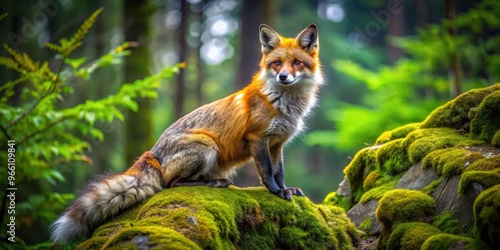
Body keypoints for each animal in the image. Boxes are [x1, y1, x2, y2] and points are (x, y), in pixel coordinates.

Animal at [49, 23, 324, 242]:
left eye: (297, 63)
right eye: (276, 63)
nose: (283, 76)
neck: (284, 104)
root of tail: (152, 153)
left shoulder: (277, 143)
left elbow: (279, 172)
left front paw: (287, 189)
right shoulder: (257, 139)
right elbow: (267, 173)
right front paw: (277, 193)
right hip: (206, 144)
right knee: (171, 184)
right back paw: (213, 183)